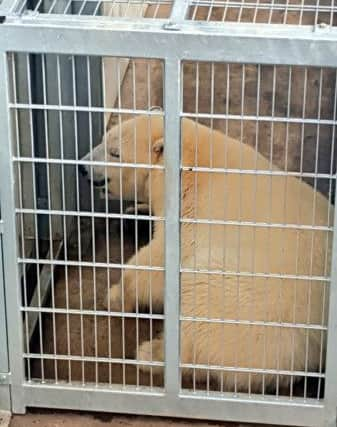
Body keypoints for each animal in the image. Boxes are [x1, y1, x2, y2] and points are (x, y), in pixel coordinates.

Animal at [80, 114, 330, 394]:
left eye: (115, 153)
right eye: (102, 139)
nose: (82, 167)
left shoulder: (191, 212)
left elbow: (157, 264)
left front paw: (114, 296)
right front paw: (136, 214)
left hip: (249, 305)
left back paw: (151, 353)